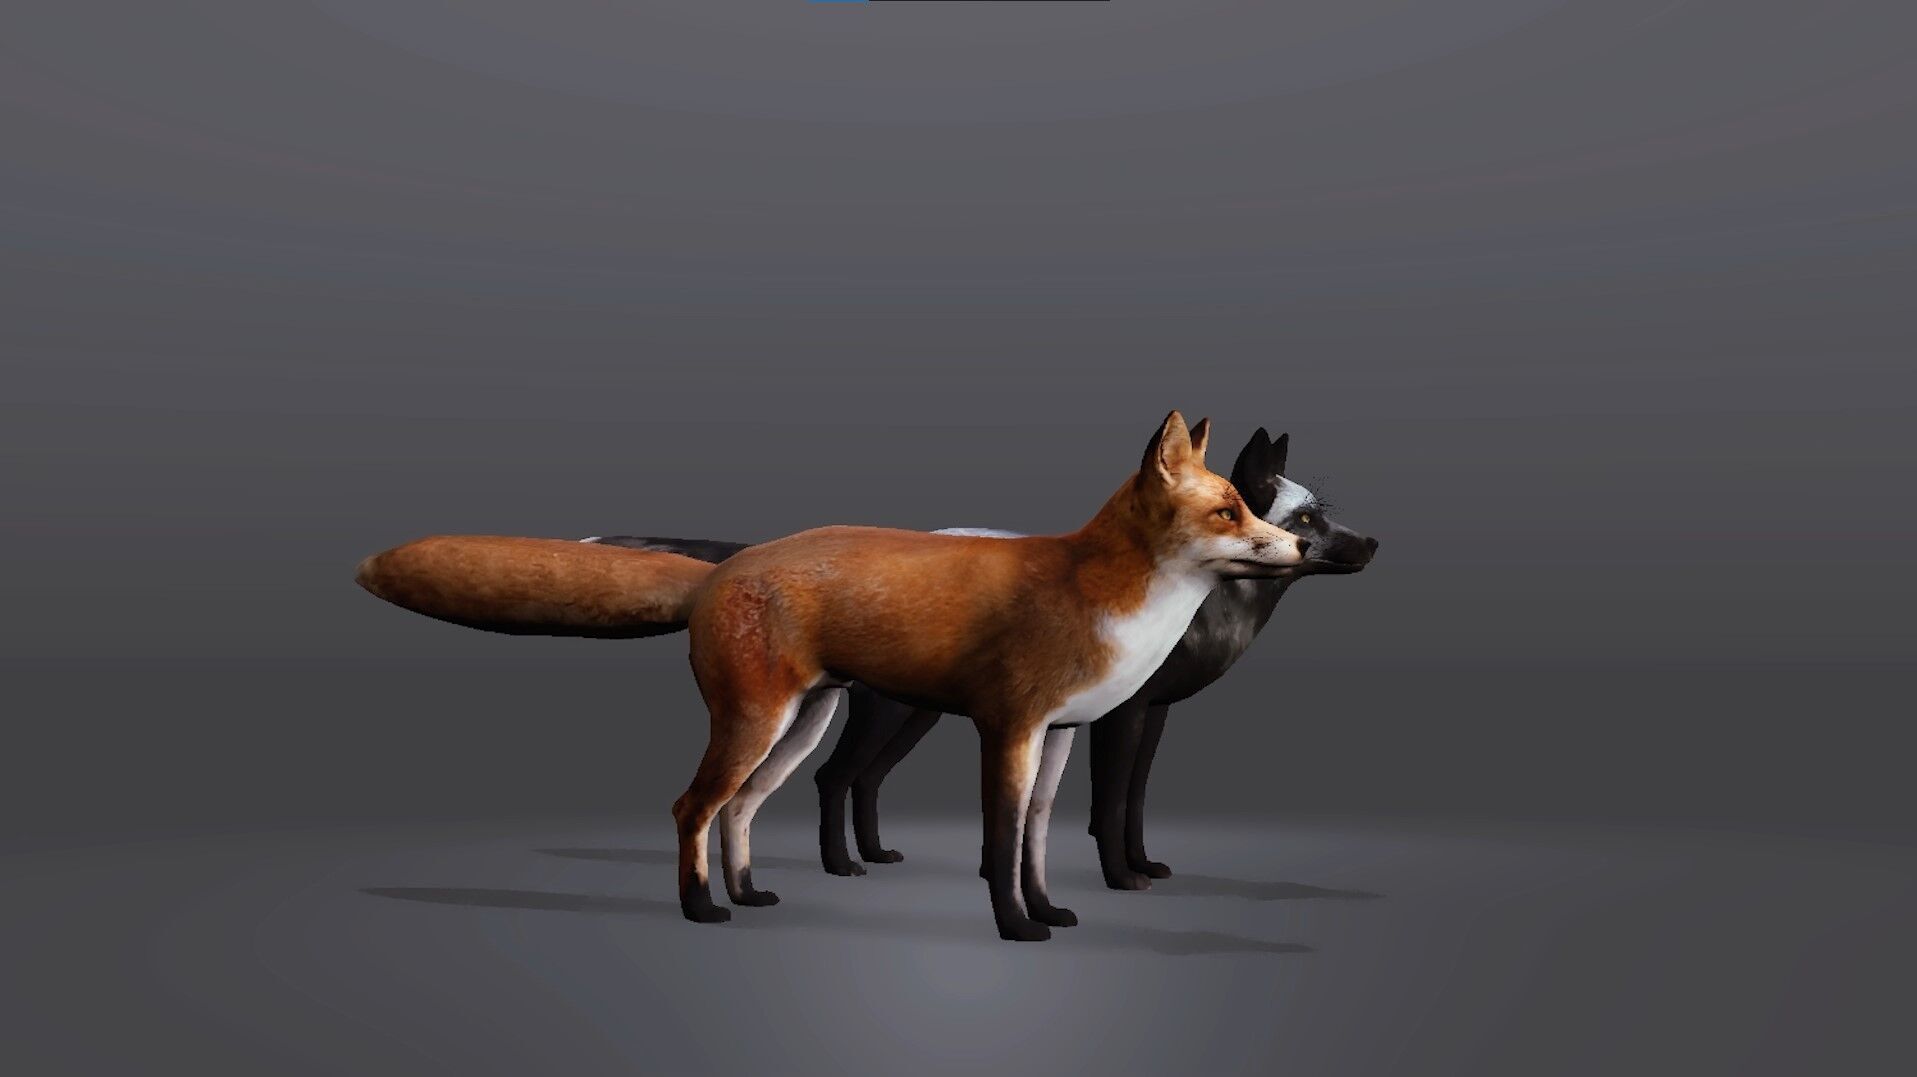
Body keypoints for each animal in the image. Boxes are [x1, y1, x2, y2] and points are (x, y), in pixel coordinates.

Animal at [355, 412, 1306, 941]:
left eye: (1255, 511)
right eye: (1231, 511)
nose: (1298, 551)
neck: (1104, 596)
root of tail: (727, 565)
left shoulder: (1065, 733)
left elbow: (1036, 840)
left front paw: (1047, 909)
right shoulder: (1008, 729)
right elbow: (1001, 843)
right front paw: (1014, 926)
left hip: (800, 724)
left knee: (740, 809)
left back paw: (747, 891)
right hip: (758, 720)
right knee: (691, 807)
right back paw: (701, 909)